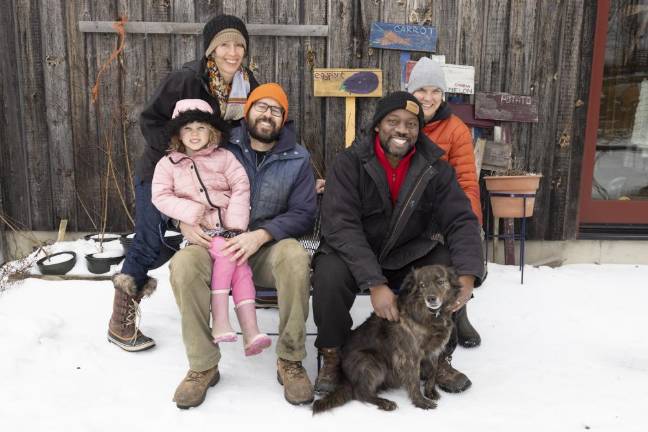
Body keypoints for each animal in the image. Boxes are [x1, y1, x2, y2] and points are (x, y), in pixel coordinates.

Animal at [312, 264, 460, 414]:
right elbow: (414, 381)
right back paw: (385, 403)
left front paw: (430, 392)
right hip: (373, 362)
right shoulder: (410, 355)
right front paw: (421, 402)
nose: (431, 299)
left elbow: (433, 372)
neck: (431, 315)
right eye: (422, 285)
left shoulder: (434, 351)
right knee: (360, 393)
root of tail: (346, 377)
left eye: (440, 282)